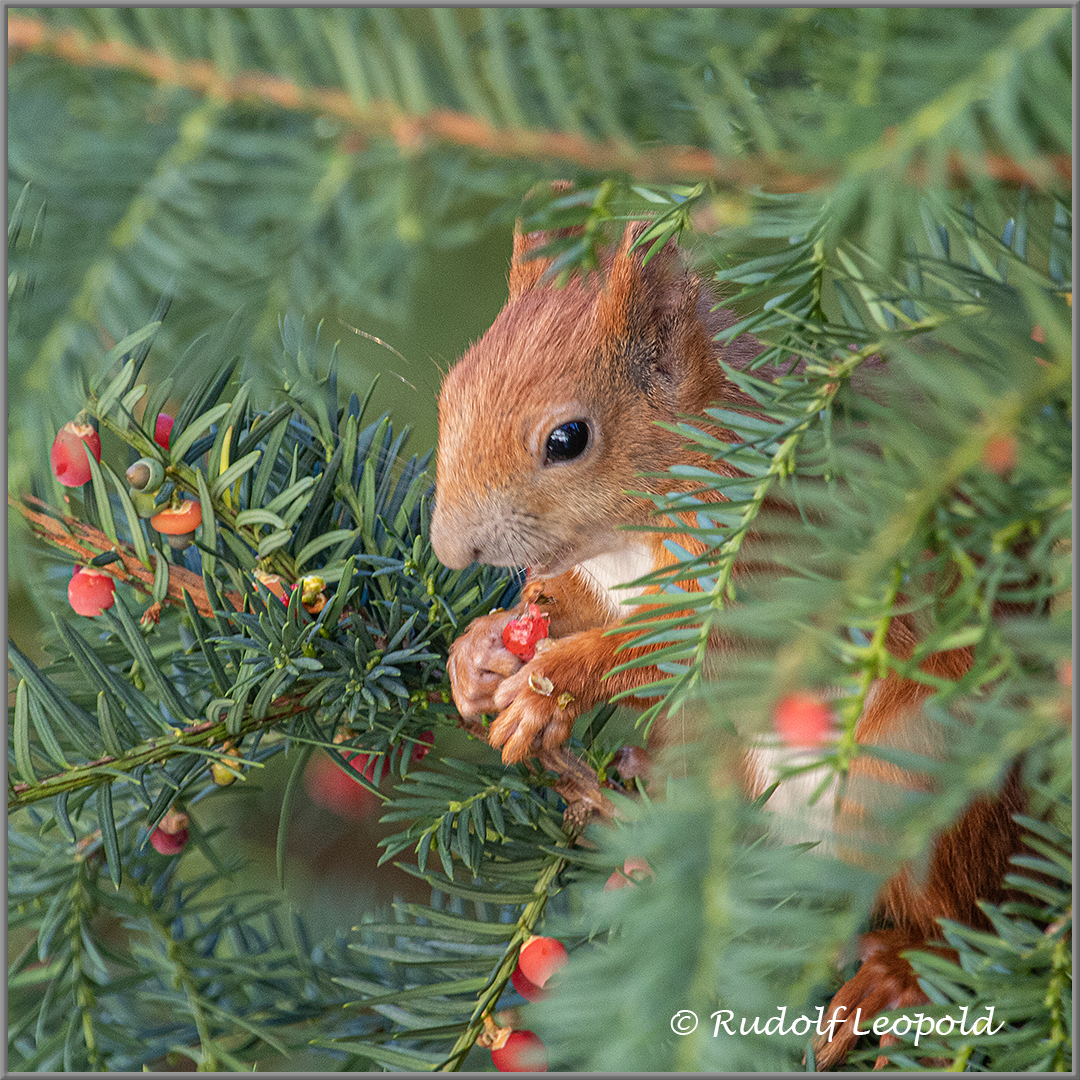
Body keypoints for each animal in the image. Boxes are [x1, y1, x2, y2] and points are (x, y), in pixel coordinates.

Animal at [427, 214, 1019, 1067]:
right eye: (449, 396)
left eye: (567, 438)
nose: (449, 552)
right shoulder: (598, 582)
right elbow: (570, 605)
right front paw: (476, 656)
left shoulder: (785, 558)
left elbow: (685, 647)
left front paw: (554, 687)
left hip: (913, 779)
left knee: (963, 921)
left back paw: (895, 976)